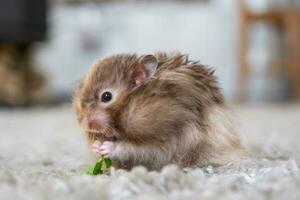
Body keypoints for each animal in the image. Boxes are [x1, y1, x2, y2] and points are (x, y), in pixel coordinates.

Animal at [72, 52, 244, 170]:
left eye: (106, 96)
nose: (84, 125)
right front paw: (96, 146)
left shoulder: (171, 134)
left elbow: (134, 148)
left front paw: (106, 147)